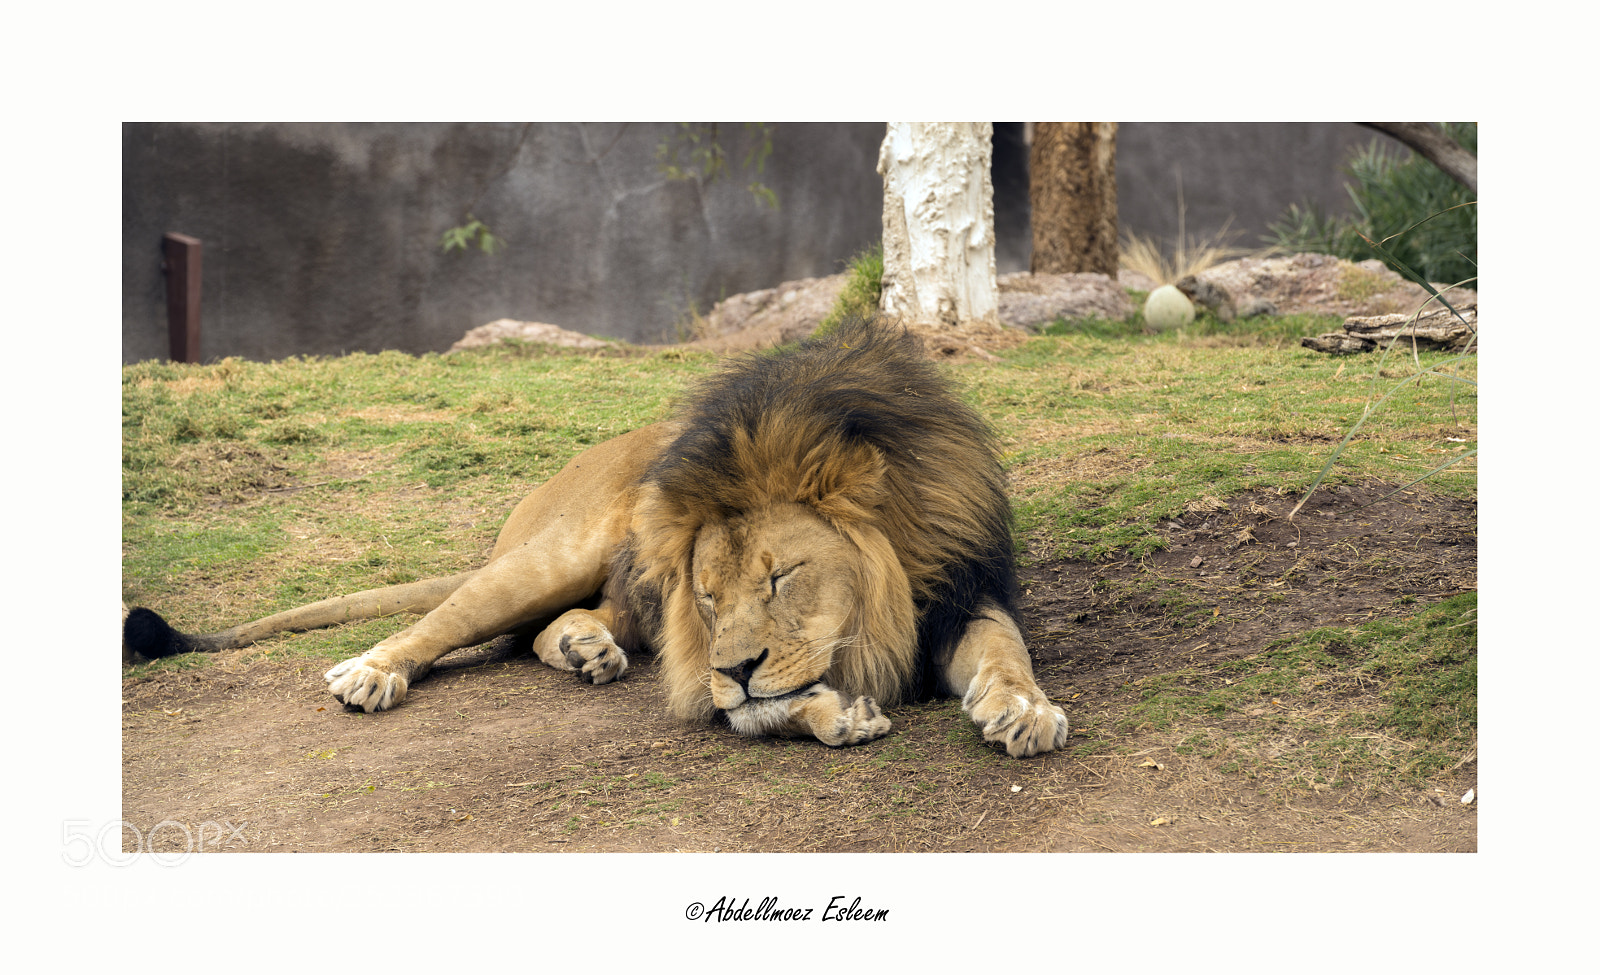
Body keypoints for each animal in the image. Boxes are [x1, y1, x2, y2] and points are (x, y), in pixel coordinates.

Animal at [124, 318, 1070, 757]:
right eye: (709, 594)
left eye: (781, 577)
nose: (736, 661)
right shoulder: (705, 665)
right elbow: (751, 705)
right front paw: (838, 714)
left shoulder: (961, 587)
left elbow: (1005, 649)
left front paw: (1023, 709)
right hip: (551, 553)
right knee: (448, 622)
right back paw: (370, 671)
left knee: (554, 629)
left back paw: (586, 648)